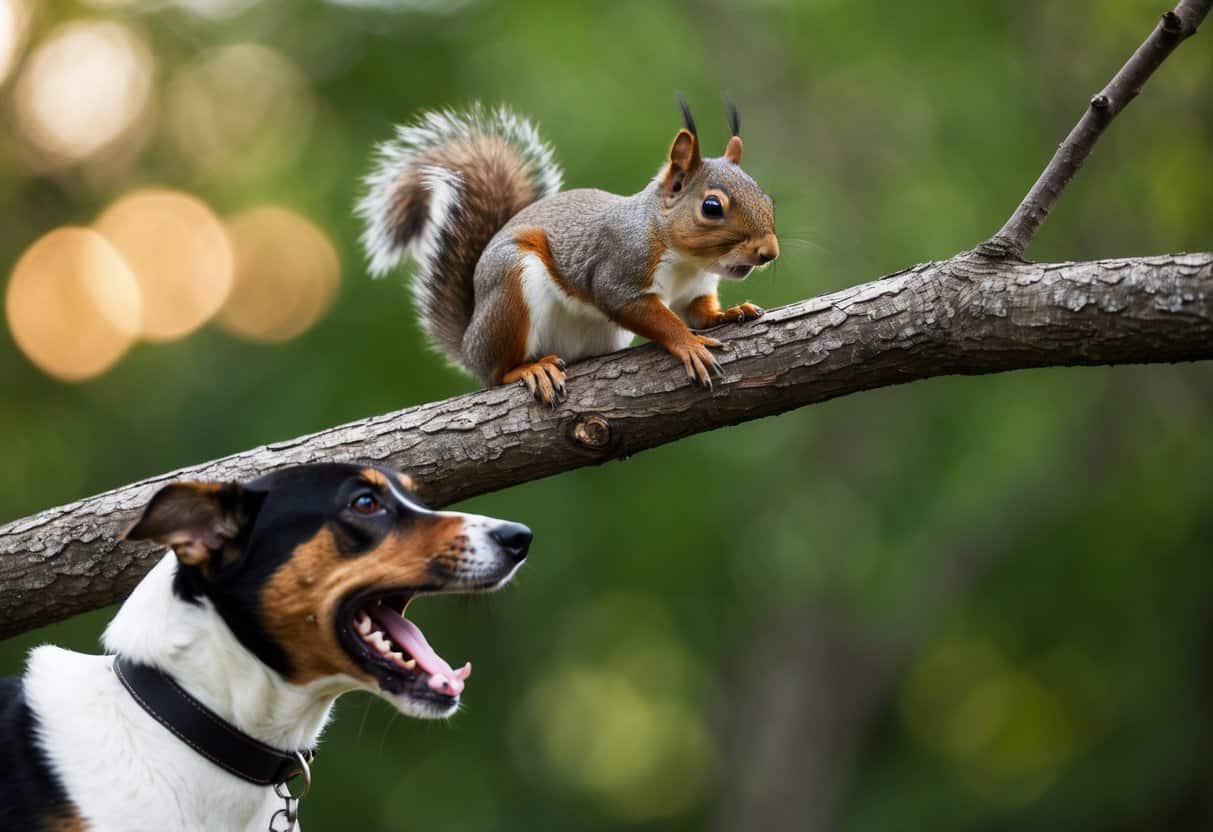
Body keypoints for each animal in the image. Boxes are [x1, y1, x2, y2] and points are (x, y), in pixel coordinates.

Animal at [357, 98, 779, 406]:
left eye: (767, 198)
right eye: (712, 207)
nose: (769, 252)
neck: (686, 261)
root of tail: (469, 342)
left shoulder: (695, 289)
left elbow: (698, 313)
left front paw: (729, 312)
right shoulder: (620, 270)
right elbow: (649, 313)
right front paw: (688, 345)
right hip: (509, 287)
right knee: (496, 373)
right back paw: (529, 370)